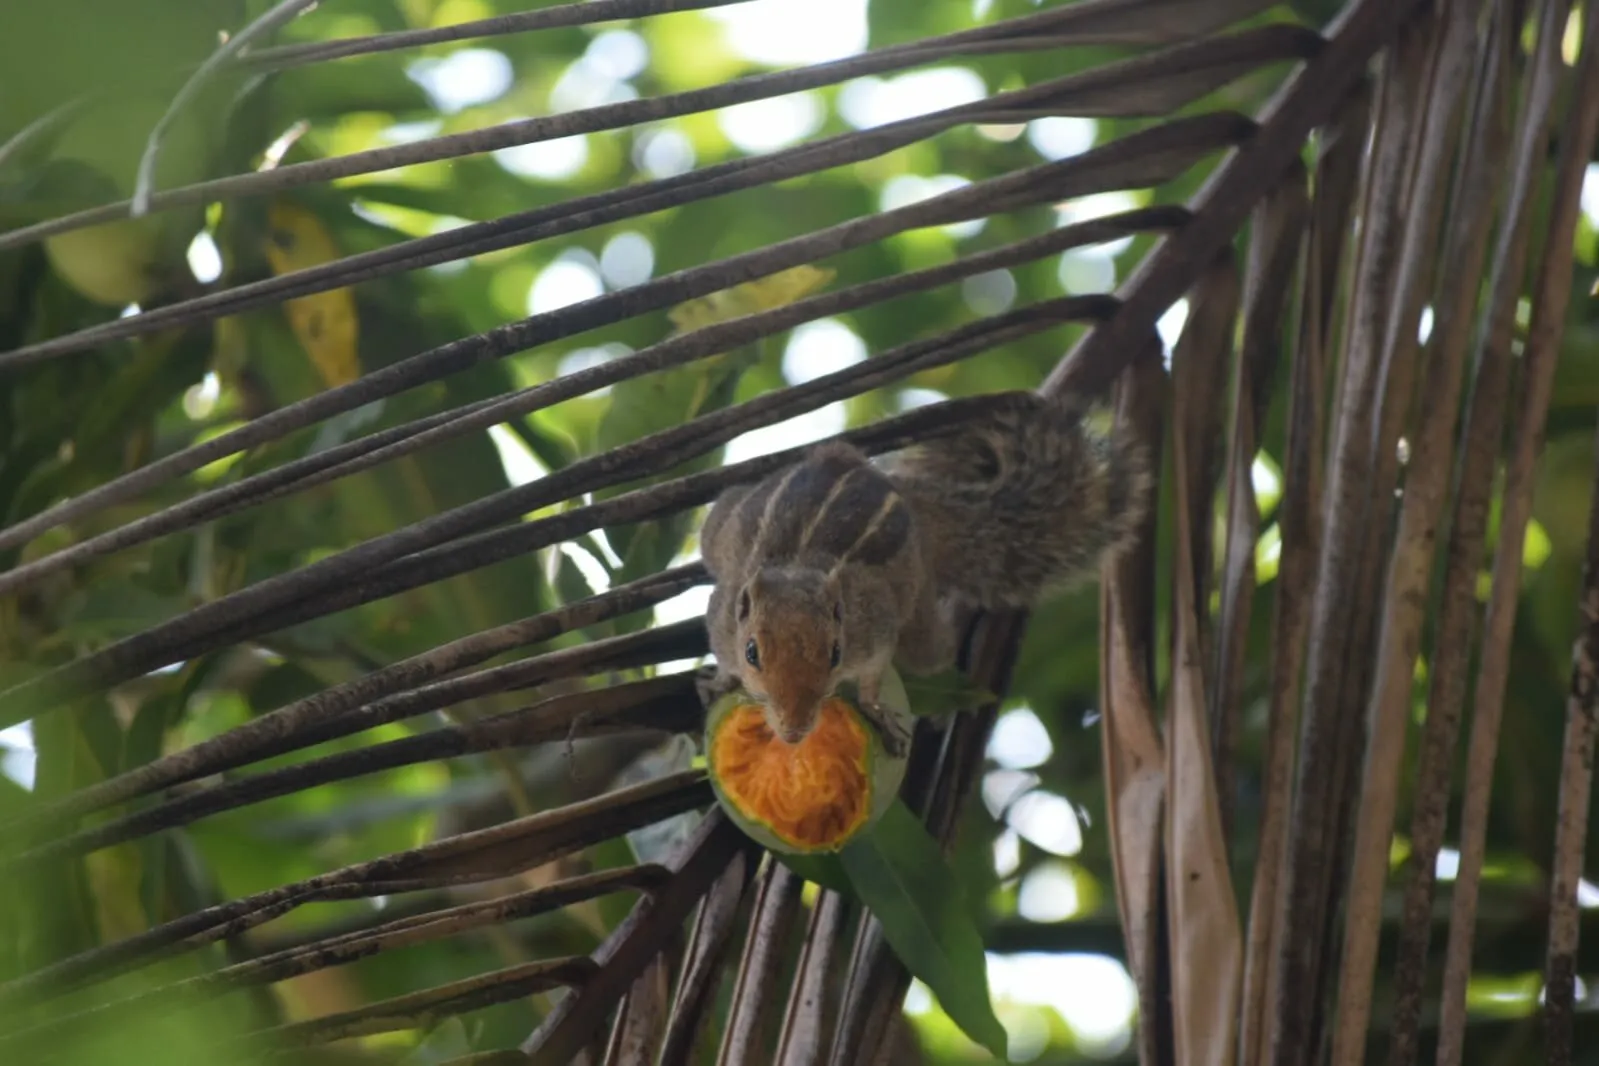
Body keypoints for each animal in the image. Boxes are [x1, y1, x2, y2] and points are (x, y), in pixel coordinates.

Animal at [698, 389, 1150, 755]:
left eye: (835, 653)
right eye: (752, 652)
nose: (793, 730)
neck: (801, 566)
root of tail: (898, 488)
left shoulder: (874, 627)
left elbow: (874, 676)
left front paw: (877, 712)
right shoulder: (722, 618)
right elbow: (723, 655)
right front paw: (719, 681)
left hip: (918, 614)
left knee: (935, 650)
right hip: (718, 525)